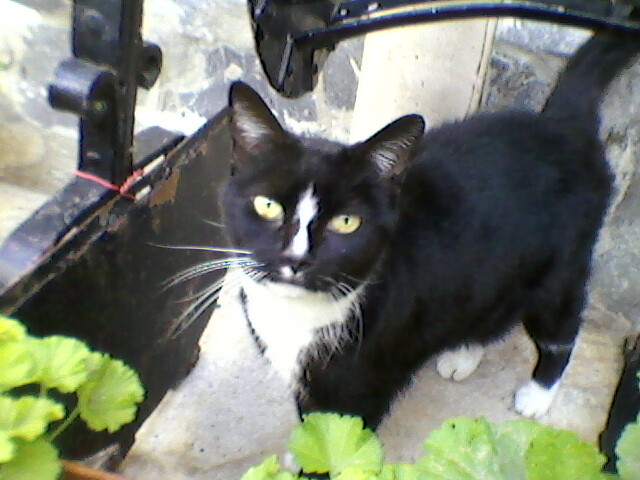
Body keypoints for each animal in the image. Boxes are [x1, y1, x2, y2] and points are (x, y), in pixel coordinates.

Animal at [220, 31, 640, 429]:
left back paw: (538, 393)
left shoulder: (359, 387)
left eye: (347, 222)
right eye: (267, 205)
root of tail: (559, 125)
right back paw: (464, 355)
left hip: (562, 263)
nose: (295, 259)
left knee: (561, 327)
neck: (301, 317)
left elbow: (337, 443)